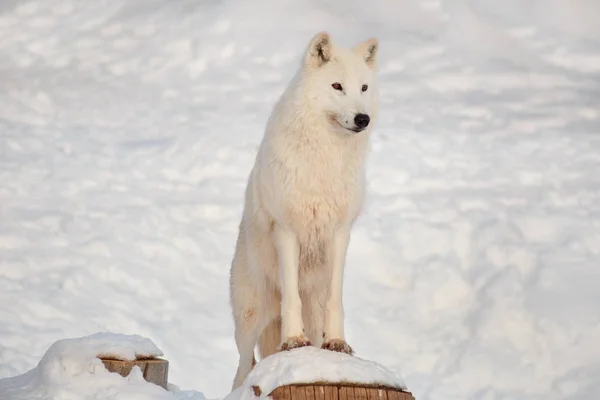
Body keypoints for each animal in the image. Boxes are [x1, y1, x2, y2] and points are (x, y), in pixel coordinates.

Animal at [227, 32, 378, 390]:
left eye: (364, 88)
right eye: (337, 86)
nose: (362, 119)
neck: (325, 158)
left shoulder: (339, 232)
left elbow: (337, 298)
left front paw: (338, 343)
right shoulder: (287, 229)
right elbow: (291, 296)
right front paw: (294, 341)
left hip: (312, 304)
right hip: (251, 320)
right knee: (243, 368)